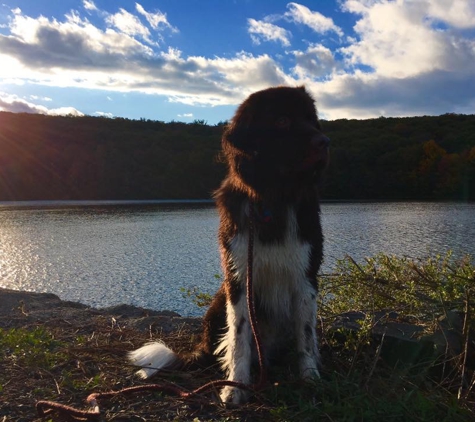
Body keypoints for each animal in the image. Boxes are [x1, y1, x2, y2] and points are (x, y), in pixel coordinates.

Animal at [130, 85, 330, 402]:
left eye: (311, 119)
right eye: (282, 120)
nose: (325, 142)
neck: (273, 196)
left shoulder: (306, 275)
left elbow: (307, 336)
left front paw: (310, 378)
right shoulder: (238, 277)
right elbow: (239, 338)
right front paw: (235, 387)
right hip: (218, 303)